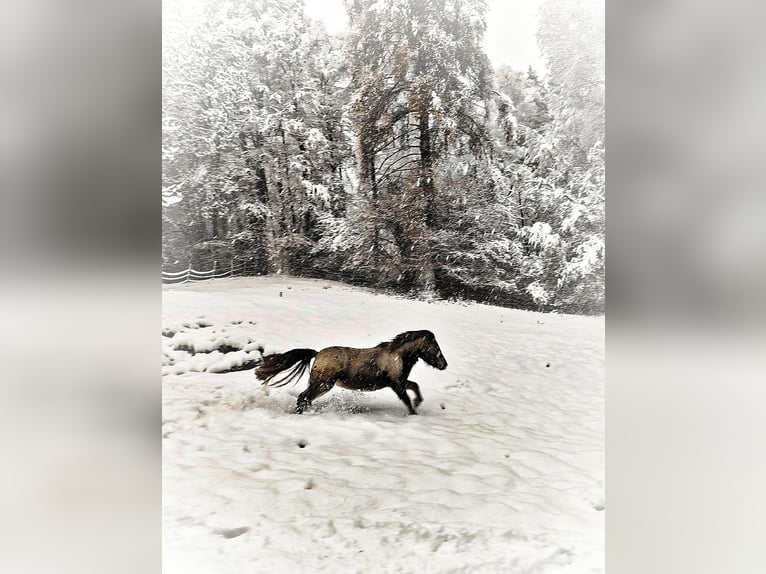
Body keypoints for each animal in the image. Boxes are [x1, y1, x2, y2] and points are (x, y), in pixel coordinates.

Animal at [253, 330, 448, 415]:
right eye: (436, 348)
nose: (444, 365)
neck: (397, 356)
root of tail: (317, 354)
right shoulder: (396, 384)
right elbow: (406, 400)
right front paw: (414, 413)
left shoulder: (399, 381)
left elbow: (415, 386)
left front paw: (418, 402)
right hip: (323, 384)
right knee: (303, 398)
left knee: (304, 398)